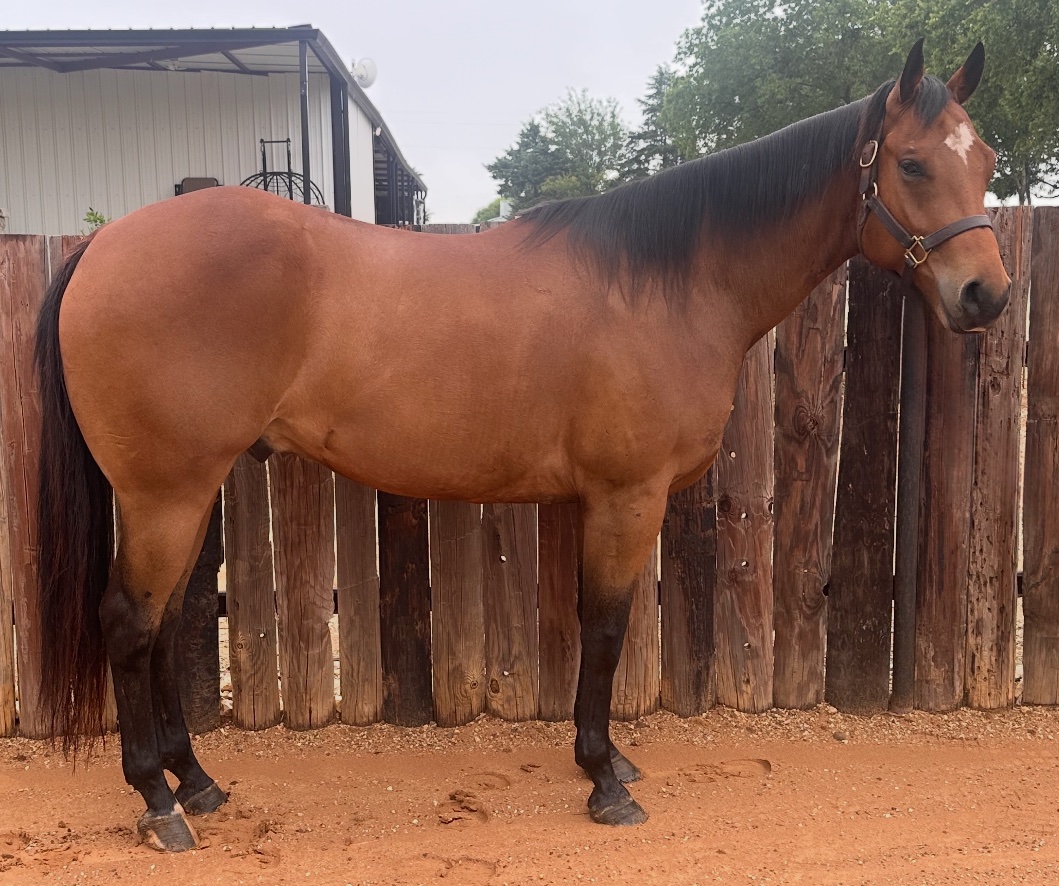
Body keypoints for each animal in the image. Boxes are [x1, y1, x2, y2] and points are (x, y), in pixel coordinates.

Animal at [35, 40, 1008, 852]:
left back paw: (195, 783)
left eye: (988, 162)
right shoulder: (625, 496)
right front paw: (603, 779)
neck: (668, 283)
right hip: (165, 492)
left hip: (185, 494)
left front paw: (608, 761)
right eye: (911, 163)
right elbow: (606, 626)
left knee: (166, 627)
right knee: (130, 625)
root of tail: (103, 244)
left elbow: (594, 625)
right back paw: (157, 803)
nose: (985, 295)